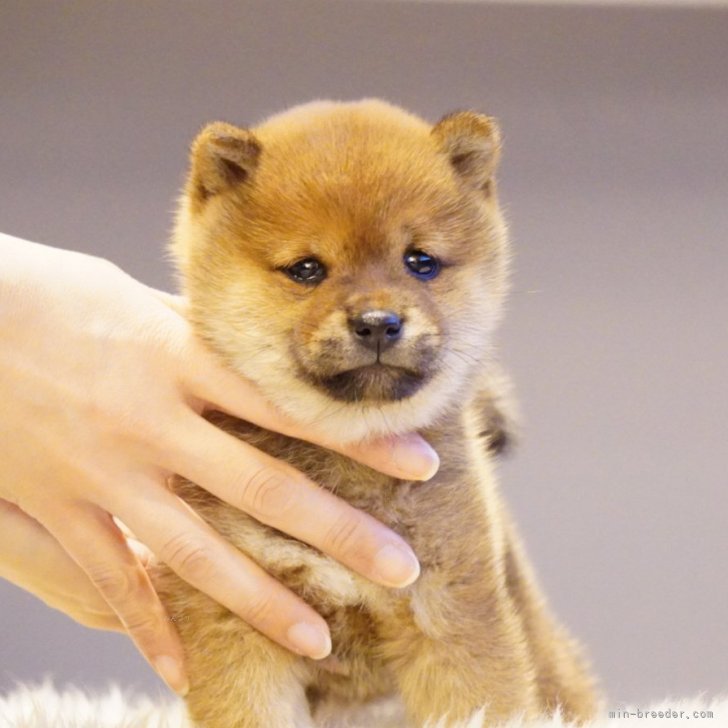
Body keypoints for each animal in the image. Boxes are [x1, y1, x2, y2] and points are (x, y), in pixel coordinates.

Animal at [154, 101, 596, 728]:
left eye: (420, 262)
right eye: (307, 269)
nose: (378, 323)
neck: (348, 463)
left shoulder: (449, 608)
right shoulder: (236, 615)